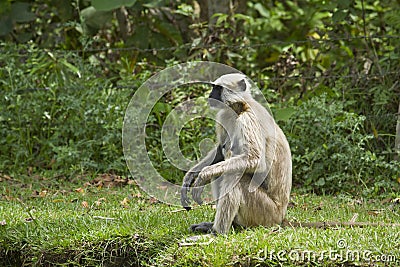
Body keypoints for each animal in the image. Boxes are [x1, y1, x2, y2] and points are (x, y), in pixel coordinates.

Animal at [180, 73, 290, 234]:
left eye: (218, 88)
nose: (210, 95)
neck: (241, 107)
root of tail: (281, 216)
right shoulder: (224, 115)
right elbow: (219, 152)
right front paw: (190, 177)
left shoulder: (248, 118)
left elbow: (256, 160)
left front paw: (202, 176)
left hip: (266, 213)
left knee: (234, 175)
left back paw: (217, 233)